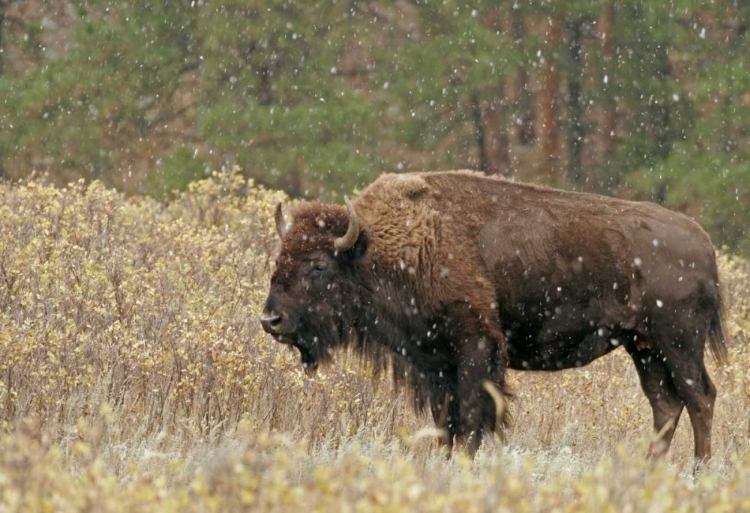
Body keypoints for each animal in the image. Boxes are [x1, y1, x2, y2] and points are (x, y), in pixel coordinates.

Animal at [260, 170, 728, 462]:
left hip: (679, 342)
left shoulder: (476, 348)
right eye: (280, 258)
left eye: (319, 266)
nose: (271, 320)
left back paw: (698, 471)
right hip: (643, 347)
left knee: (699, 397)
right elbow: (446, 422)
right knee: (665, 403)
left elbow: (472, 416)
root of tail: (705, 245)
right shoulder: (437, 363)